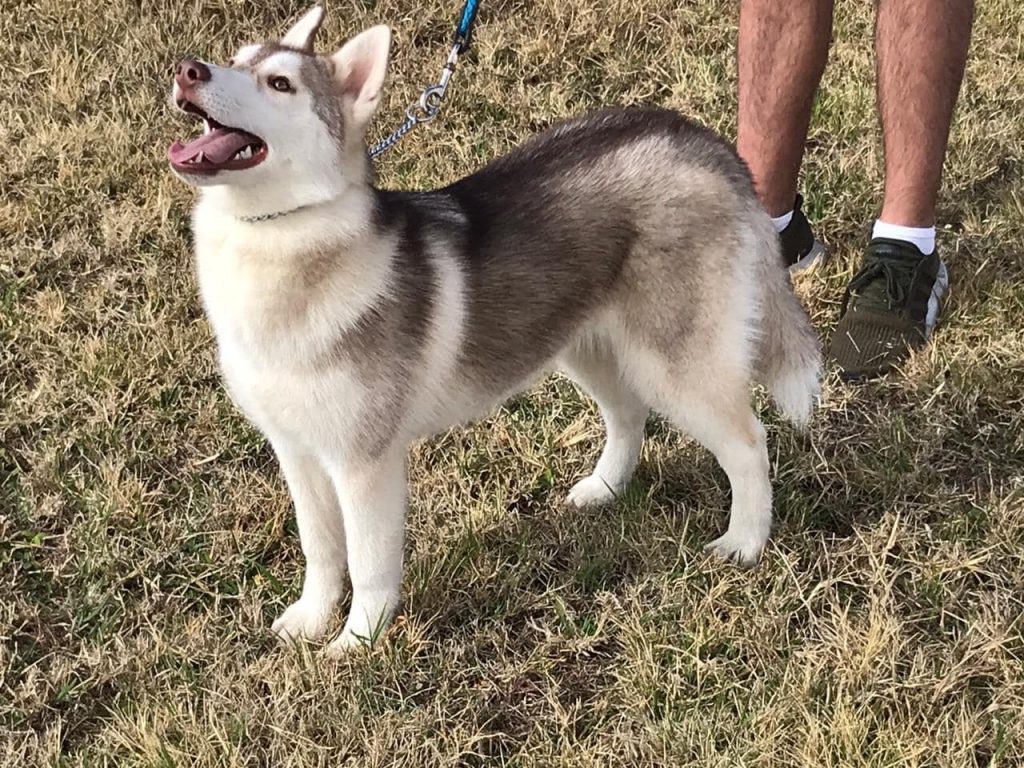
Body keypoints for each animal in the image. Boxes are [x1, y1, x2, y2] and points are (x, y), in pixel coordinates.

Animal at [169, 7, 823, 655]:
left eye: (280, 84)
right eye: (236, 57)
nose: (188, 69)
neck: (280, 241)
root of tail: (705, 142)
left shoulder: (363, 462)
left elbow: (370, 562)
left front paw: (358, 642)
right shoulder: (297, 450)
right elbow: (322, 548)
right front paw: (310, 619)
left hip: (674, 364)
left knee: (748, 442)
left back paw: (746, 540)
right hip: (586, 345)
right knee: (628, 414)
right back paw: (606, 488)